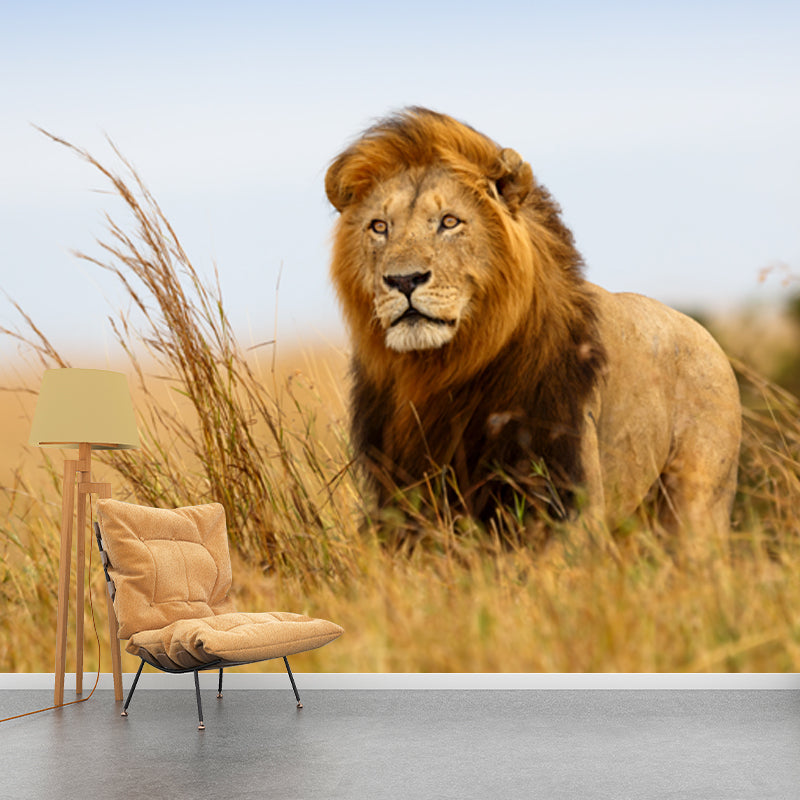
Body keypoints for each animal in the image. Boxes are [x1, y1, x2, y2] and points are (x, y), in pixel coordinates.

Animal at [325, 107, 741, 541]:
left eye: (449, 222)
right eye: (379, 227)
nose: (404, 280)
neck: (442, 370)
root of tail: (706, 336)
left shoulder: (566, 491)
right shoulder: (400, 495)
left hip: (697, 503)